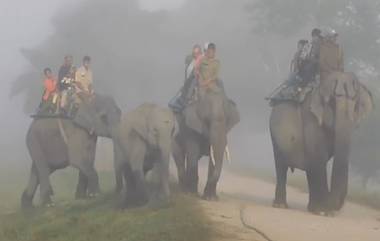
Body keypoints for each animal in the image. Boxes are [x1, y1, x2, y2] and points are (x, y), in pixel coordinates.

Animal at [270, 72, 374, 215]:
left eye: (355, 105)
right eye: (331, 103)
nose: (334, 208)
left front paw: (320, 211)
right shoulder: (310, 118)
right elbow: (318, 156)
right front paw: (323, 212)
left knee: (308, 168)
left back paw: (310, 208)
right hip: (275, 137)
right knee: (281, 166)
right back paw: (280, 206)